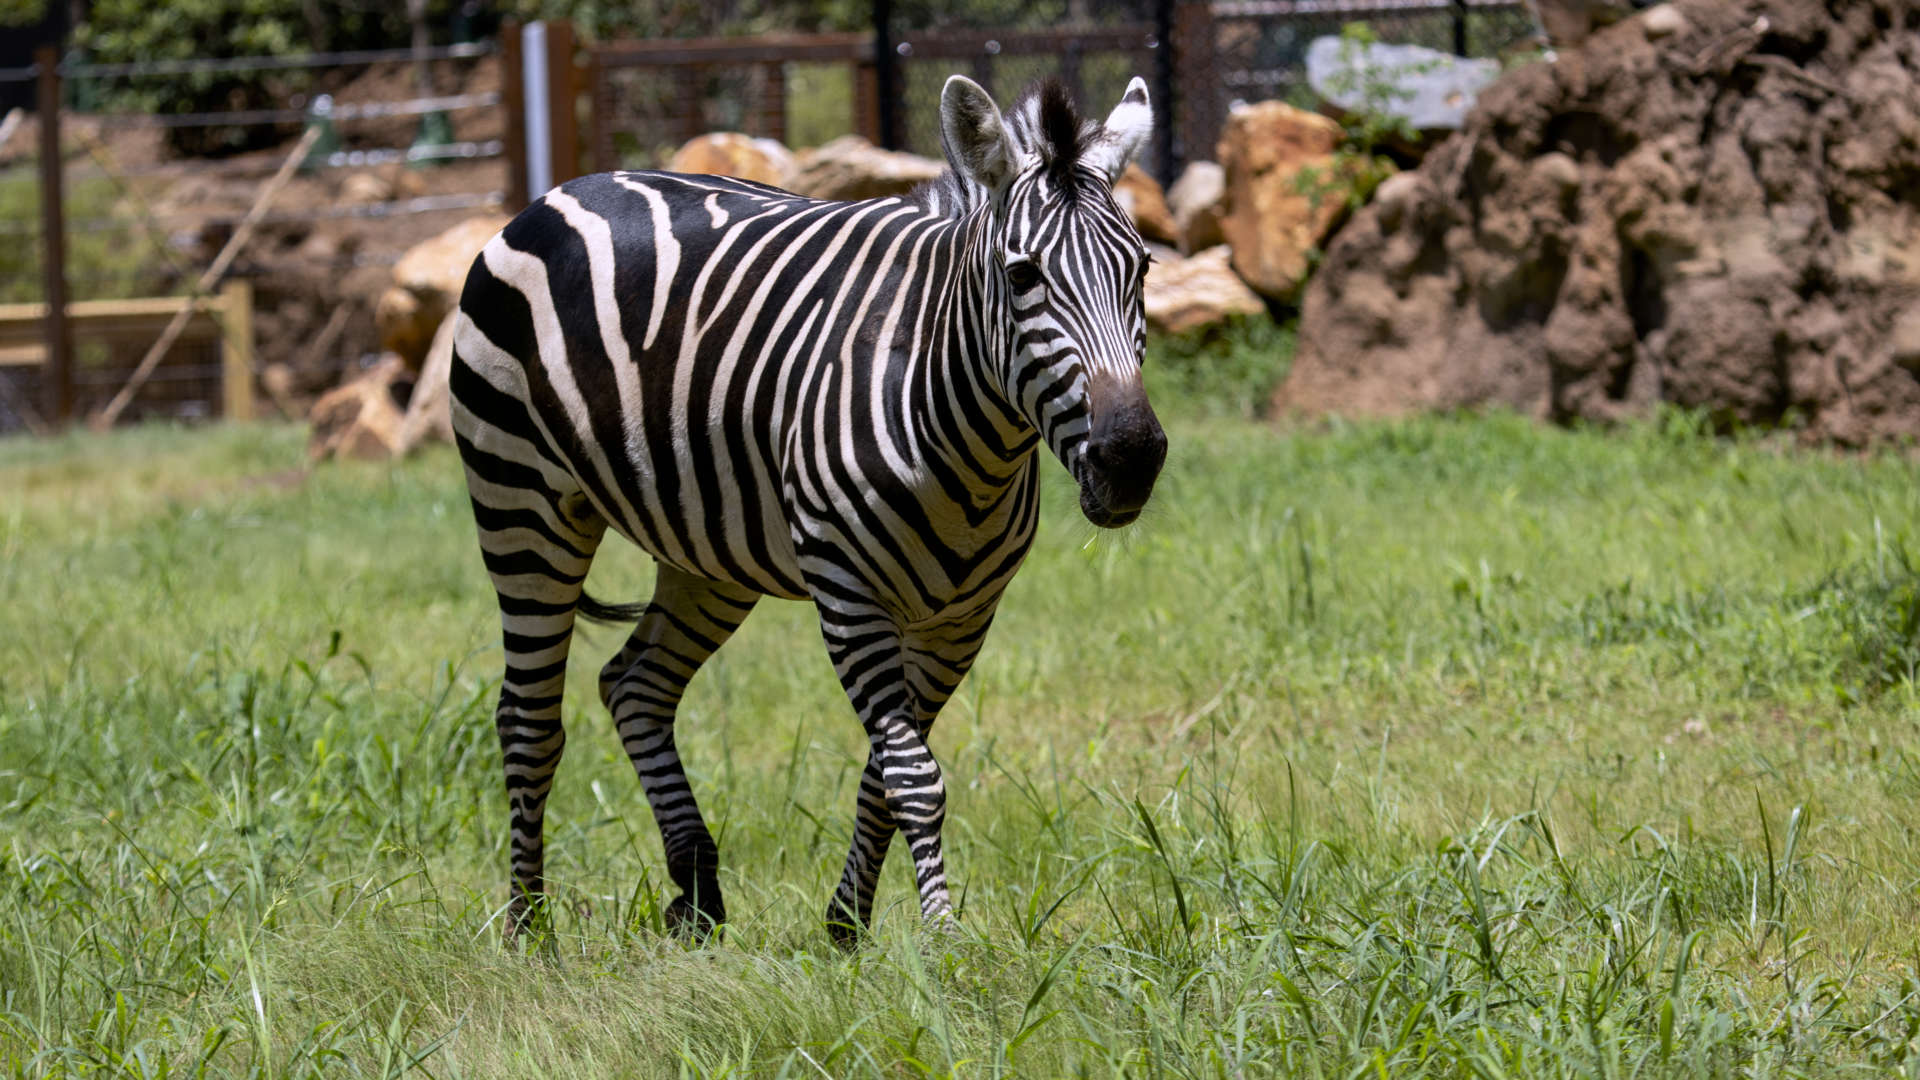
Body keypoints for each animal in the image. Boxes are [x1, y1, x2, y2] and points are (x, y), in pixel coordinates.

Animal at [452, 74, 1167, 944]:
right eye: (1024, 275)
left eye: (1142, 269)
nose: (1130, 459)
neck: (966, 437)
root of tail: (568, 188)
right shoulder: (849, 596)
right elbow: (913, 775)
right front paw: (943, 939)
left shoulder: (962, 619)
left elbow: (883, 776)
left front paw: (846, 927)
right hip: (521, 502)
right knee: (527, 720)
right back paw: (528, 927)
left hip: (709, 550)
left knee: (634, 685)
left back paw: (697, 895)